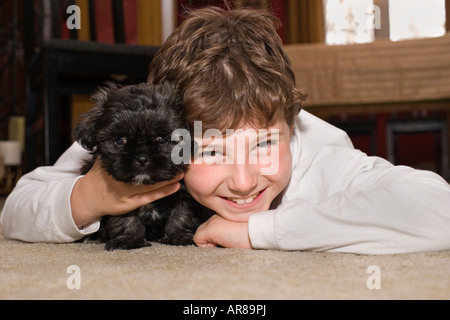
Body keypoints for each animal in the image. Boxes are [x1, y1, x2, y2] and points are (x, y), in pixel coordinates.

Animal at [73, 82, 202, 250]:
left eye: (162, 139)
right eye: (120, 139)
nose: (141, 158)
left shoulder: (183, 192)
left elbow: (181, 212)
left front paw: (179, 235)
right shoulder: (118, 202)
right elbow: (125, 217)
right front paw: (129, 239)